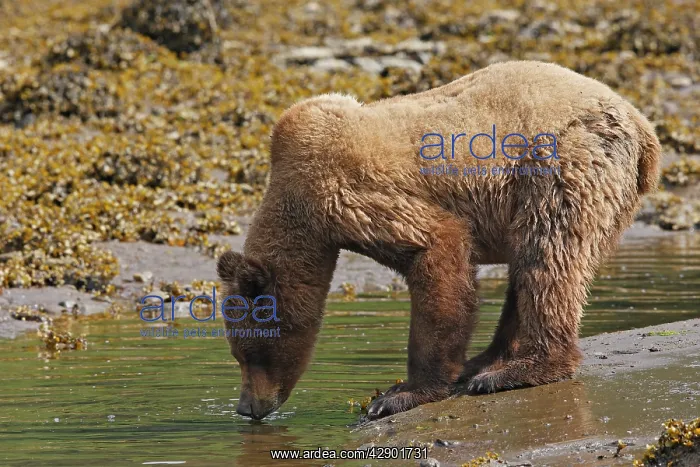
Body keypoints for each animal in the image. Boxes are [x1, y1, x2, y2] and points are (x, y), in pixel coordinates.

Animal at [217, 61, 661, 421]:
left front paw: (399, 393)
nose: (247, 408)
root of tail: (644, 129)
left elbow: (436, 247)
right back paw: (486, 360)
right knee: (528, 266)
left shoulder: (345, 192)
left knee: (549, 256)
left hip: (559, 164)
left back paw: (517, 370)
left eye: (248, 354)